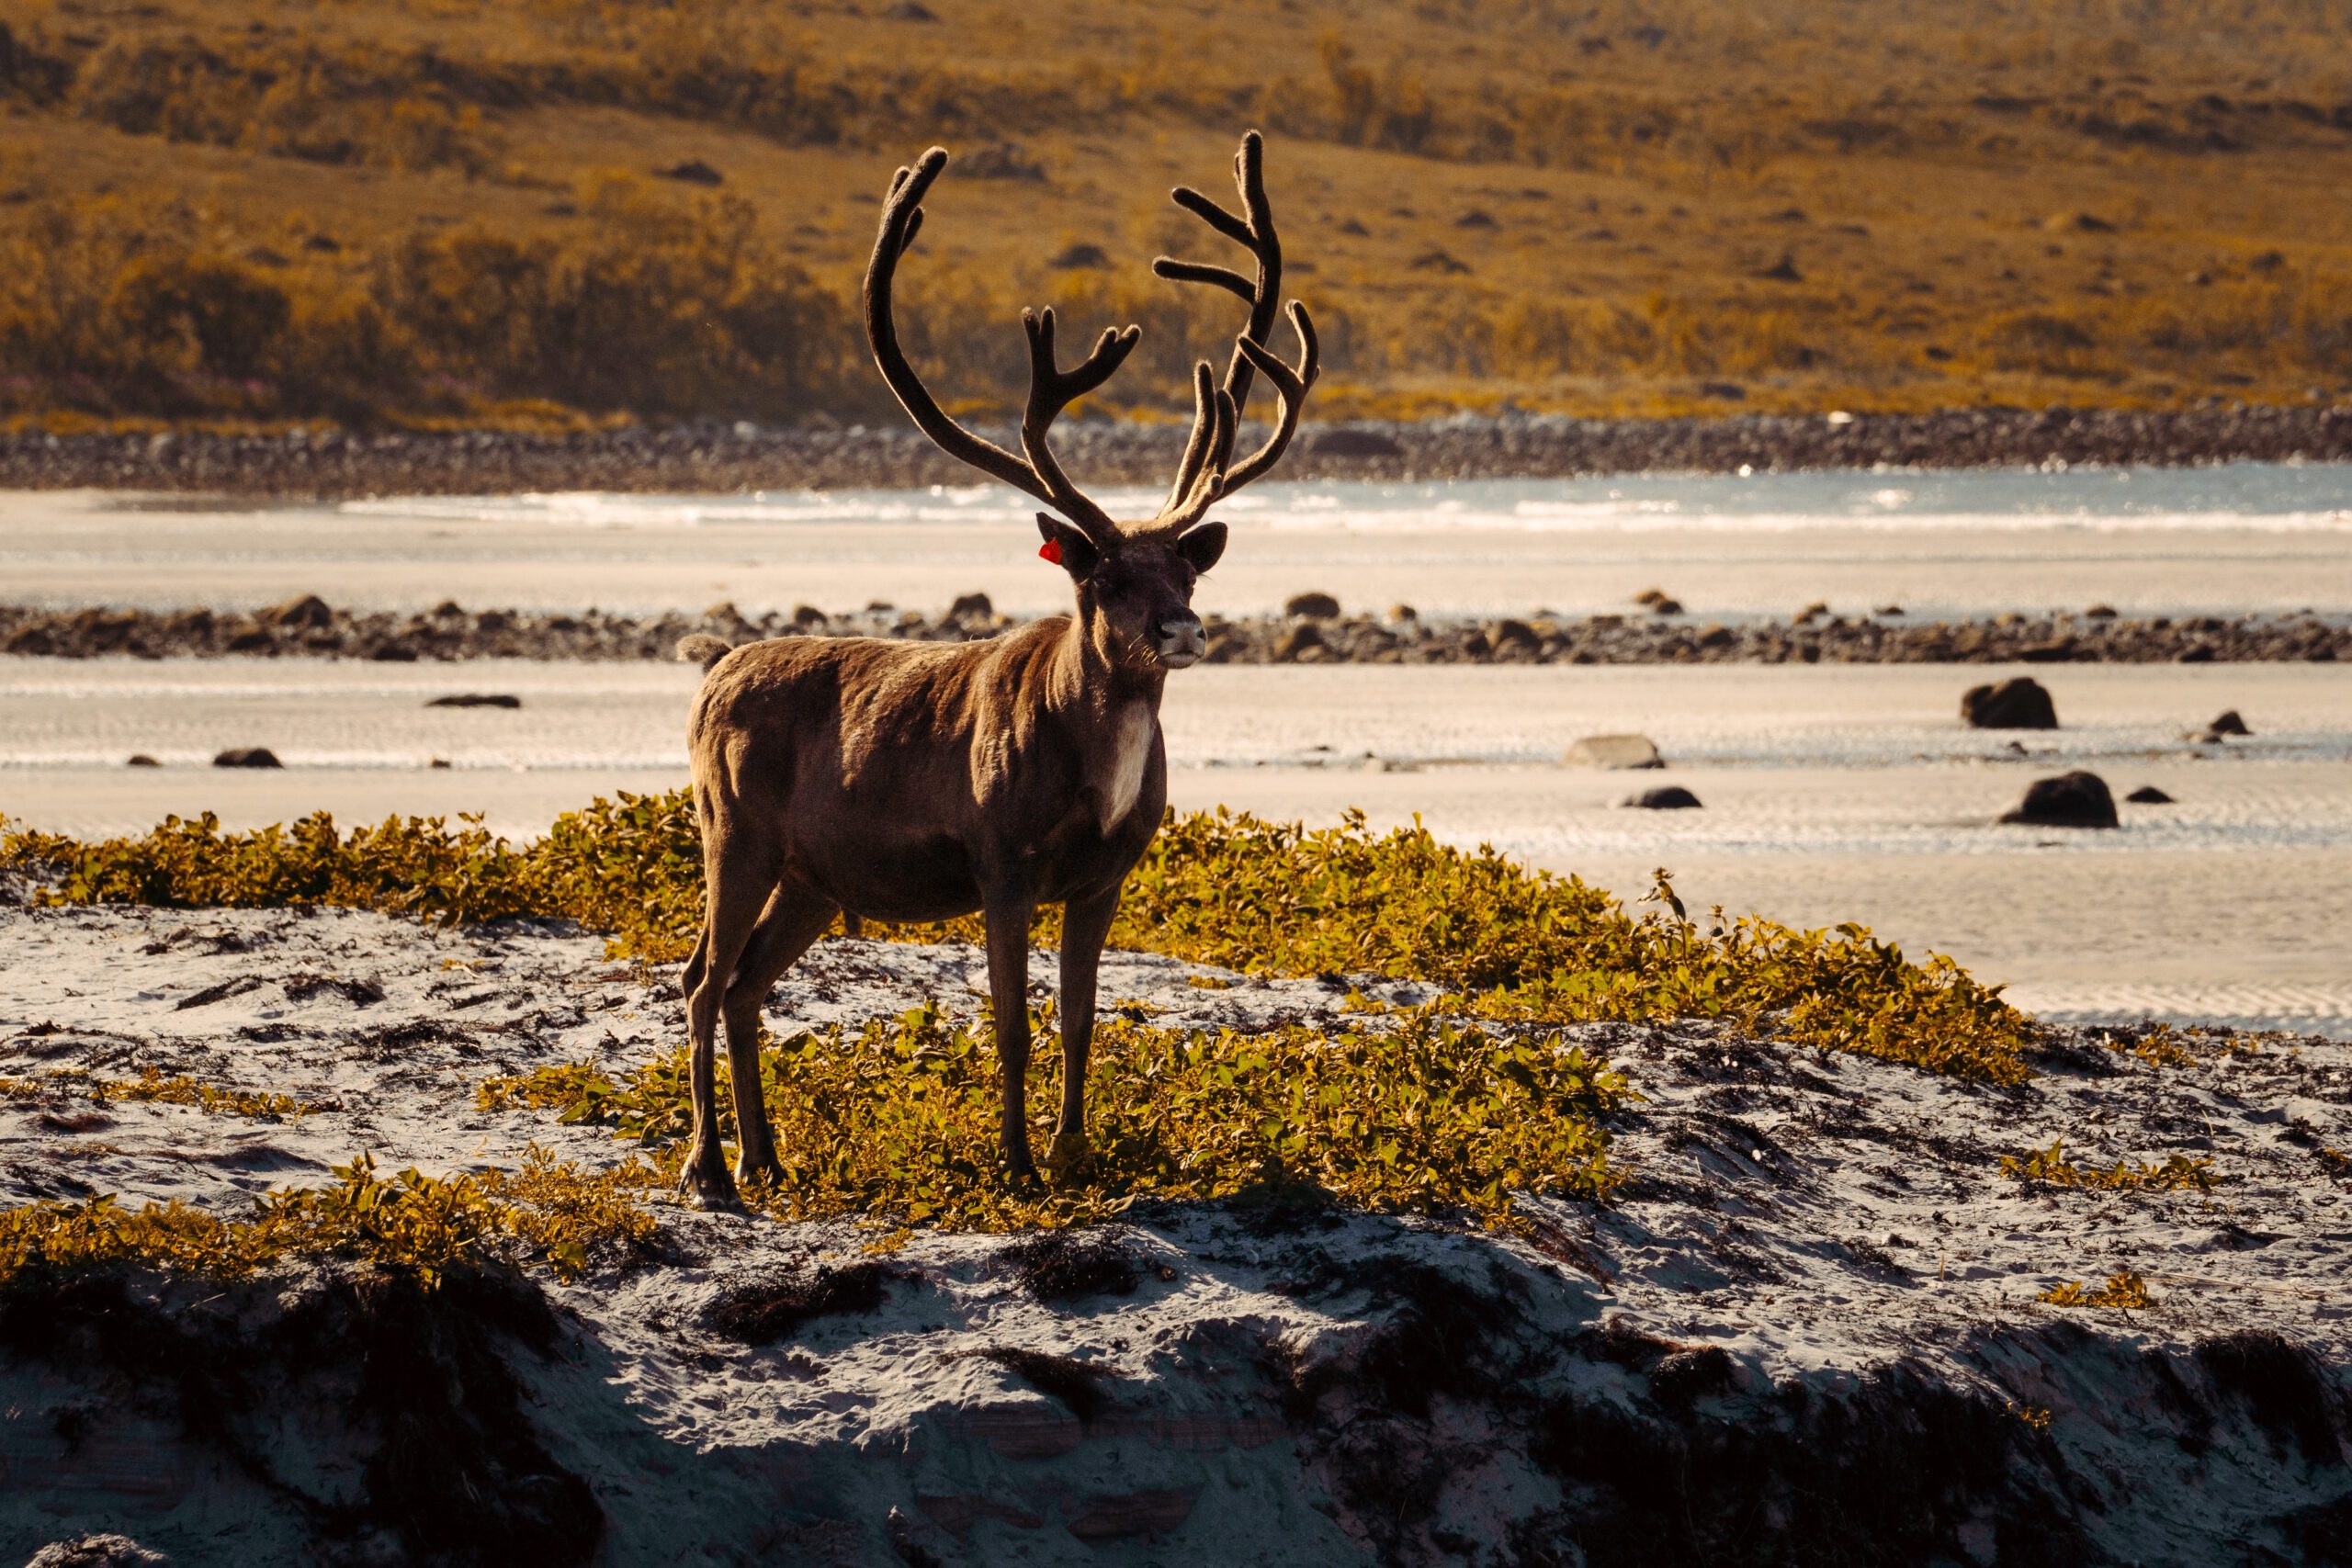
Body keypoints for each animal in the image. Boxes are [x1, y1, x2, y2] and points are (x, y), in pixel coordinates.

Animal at [669, 132, 1320, 1206]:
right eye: (1103, 574)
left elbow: (1078, 1021)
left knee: (747, 982)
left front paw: (1073, 1154)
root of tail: (712, 674)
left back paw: (768, 1156)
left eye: (1186, 567)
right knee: (702, 977)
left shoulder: (1103, 878)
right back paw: (709, 1167)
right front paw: (1014, 1165)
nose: (1181, 629)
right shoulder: (999, 860)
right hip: (732, 830)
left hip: (815, 875)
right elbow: (1011, 1025)